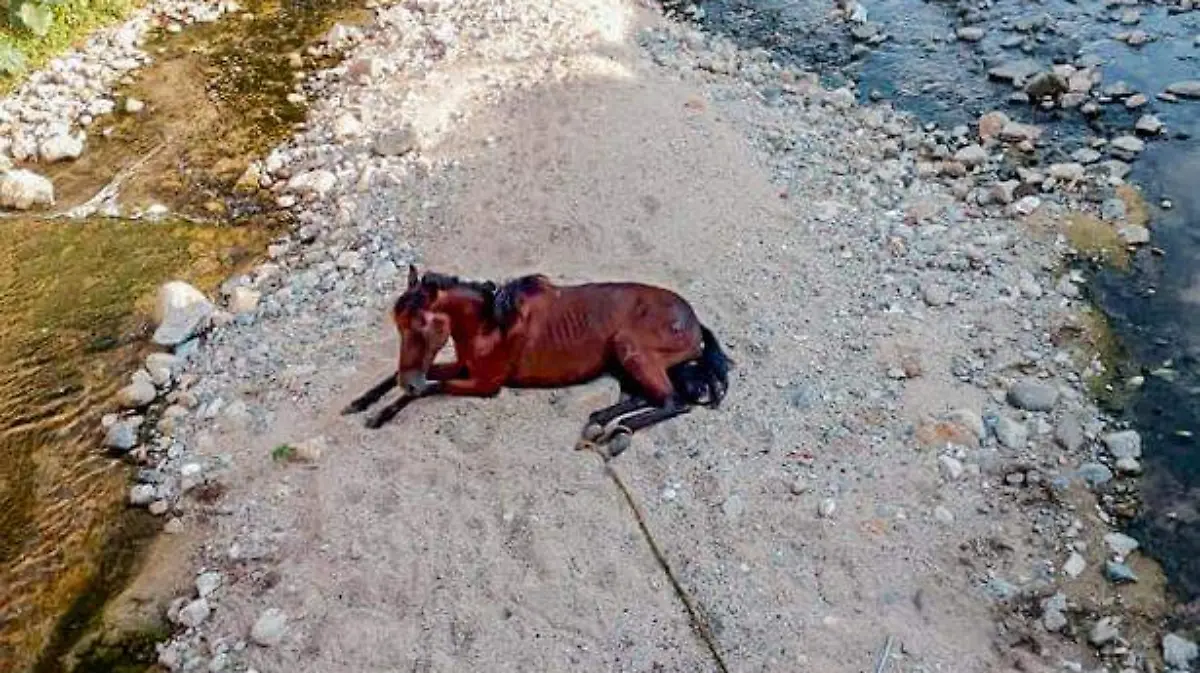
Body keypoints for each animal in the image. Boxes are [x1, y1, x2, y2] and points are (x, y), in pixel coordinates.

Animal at [341, 265, 731, 458]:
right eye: (398, 325)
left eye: (423, 325)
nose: (411, 380)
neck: (490, 322)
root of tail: (695, 323)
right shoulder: (463, 366)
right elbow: (396, 376)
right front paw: (358, 404)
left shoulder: (485, 384)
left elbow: (428, 390)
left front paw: (379, 415)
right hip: (622, 361)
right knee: (640, 397)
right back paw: (599, 424)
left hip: (630, 349)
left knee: (672, 402)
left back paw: (616, 436)